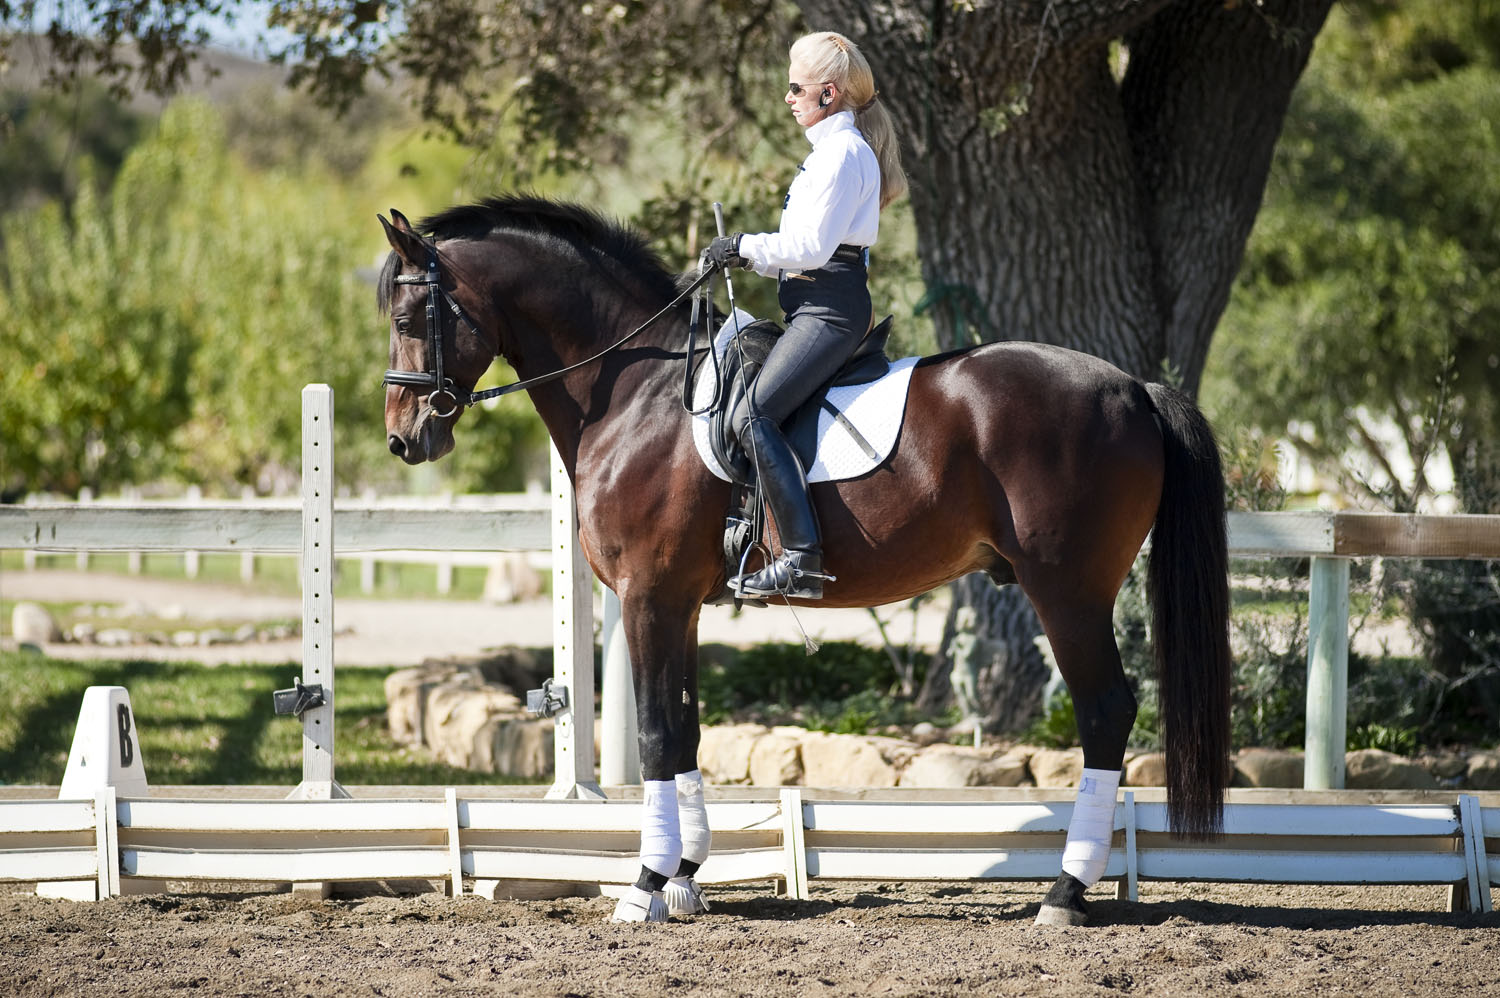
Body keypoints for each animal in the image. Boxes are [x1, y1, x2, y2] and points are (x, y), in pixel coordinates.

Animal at [375, 195, 1230, 924]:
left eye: (412, 315)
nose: (404, 440)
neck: (639, 393)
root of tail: (1132, 387)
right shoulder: (680, 602)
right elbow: (685, 730)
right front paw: (687, 879)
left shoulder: (648, 596)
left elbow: (654, 733)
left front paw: (646, 885)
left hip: (1068, 591)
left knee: (1106, 712)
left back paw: (1064, 893)